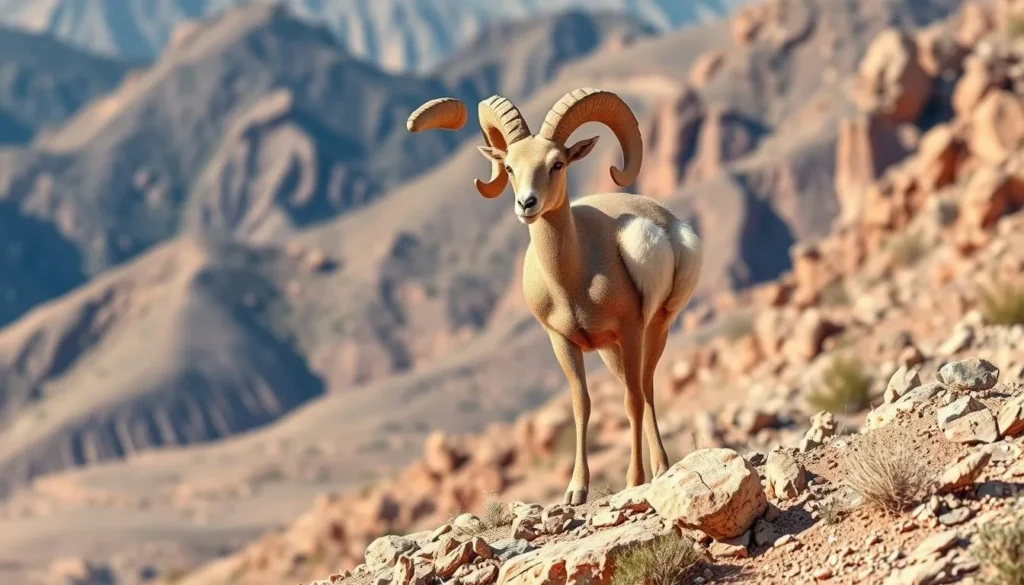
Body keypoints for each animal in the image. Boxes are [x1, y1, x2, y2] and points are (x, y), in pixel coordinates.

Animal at [406, 88, 702, 505]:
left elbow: (631, 401)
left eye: (557, 164)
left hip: (655, 330)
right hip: (612, 352)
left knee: (644, 391)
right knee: (638, 392)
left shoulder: (630, 330)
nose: (526, 204)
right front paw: (576, 491)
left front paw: (633, 481)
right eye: (509, 168)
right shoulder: (562, 342)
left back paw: (660, 468)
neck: (573, 283)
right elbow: (582, 406)